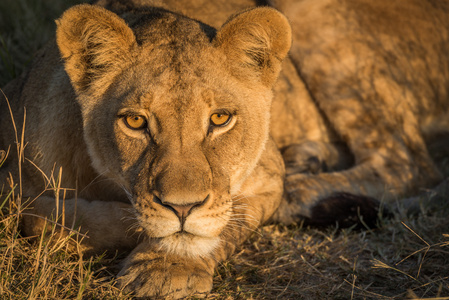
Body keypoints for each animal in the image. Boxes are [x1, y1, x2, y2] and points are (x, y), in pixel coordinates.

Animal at [0, 0, 446, 298]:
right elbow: (42, 216)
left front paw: (164, 268)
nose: (182, 208)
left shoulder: (266, 174)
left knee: (408, 164)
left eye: (219, 119)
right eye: (135, 122)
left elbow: (223, 220)